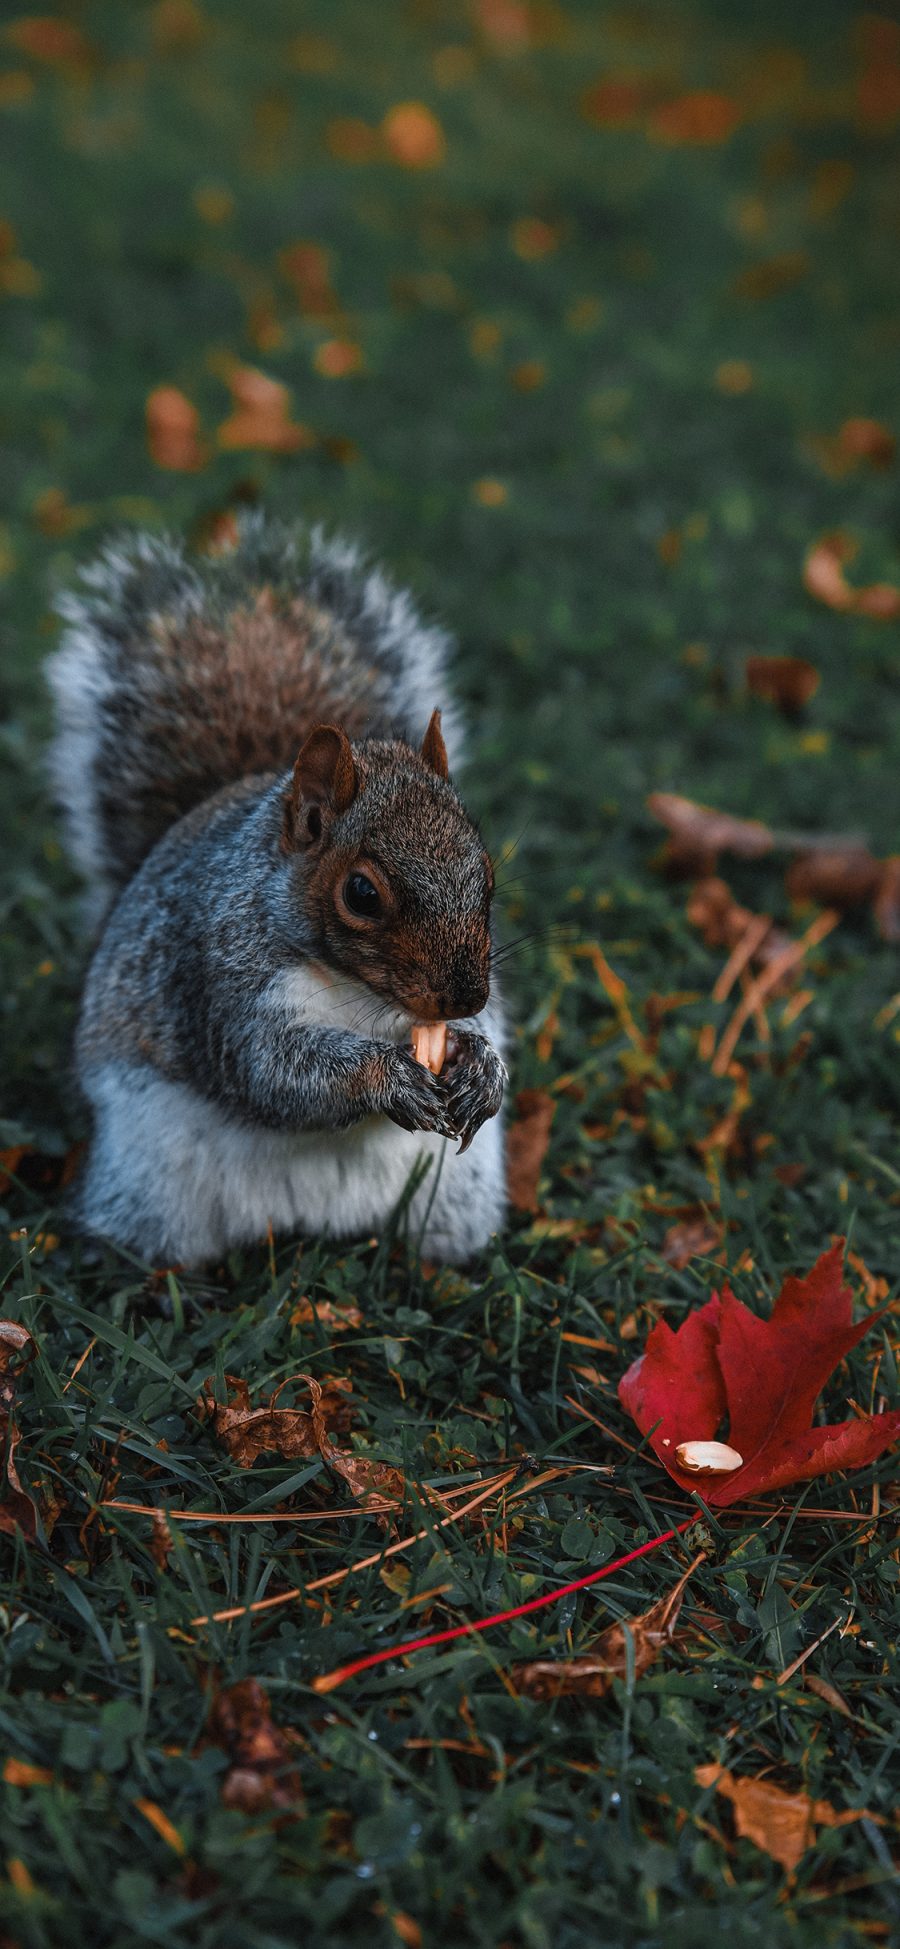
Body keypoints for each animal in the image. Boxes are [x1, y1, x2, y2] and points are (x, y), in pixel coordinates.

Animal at [49, 518, 510, 1270]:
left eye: (488, 875)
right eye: (361, 893)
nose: (462, 998)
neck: (359, 993)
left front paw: (482, 1067)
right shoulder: (218, 976)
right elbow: (273, 1070)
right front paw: (385, 1076)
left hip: (455, 1196)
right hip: (151, 1185)